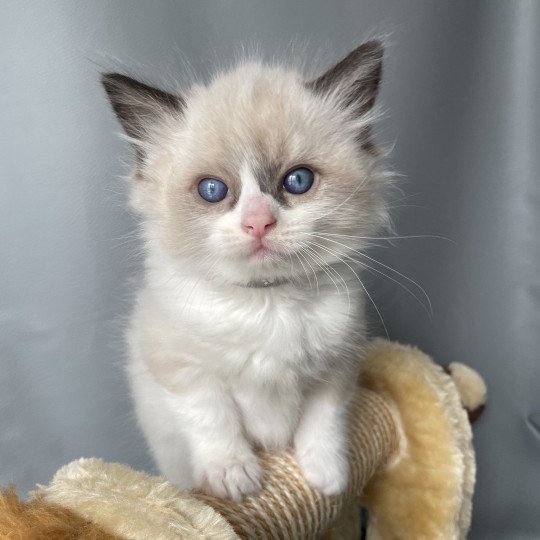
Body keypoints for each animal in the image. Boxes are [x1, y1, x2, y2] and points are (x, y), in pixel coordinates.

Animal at [102, 41, 388, 502]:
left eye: (298, 181)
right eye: (212, 190)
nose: (258, 223)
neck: (266, 302)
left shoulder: (338, 365)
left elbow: (323, 420)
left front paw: (326, 479)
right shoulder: (180, 367)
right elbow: (213, 417)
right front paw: (234, 478)